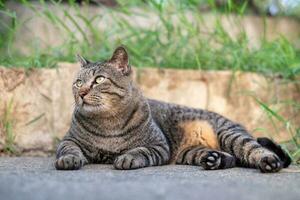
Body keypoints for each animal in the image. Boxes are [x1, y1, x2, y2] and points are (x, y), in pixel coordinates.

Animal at [55, 46, 292, 173]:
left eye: (99, 80)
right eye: (78, 82)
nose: (81, 92)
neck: (107, 122)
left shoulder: (158, 145)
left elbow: (140, 151)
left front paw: (126, 157)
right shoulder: (69, 140)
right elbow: (68, 150)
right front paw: (68, 160)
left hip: (230, 134)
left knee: (254, 149)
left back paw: (269, 162)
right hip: (191, 152)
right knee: (232, 159)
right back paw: (214, 159)